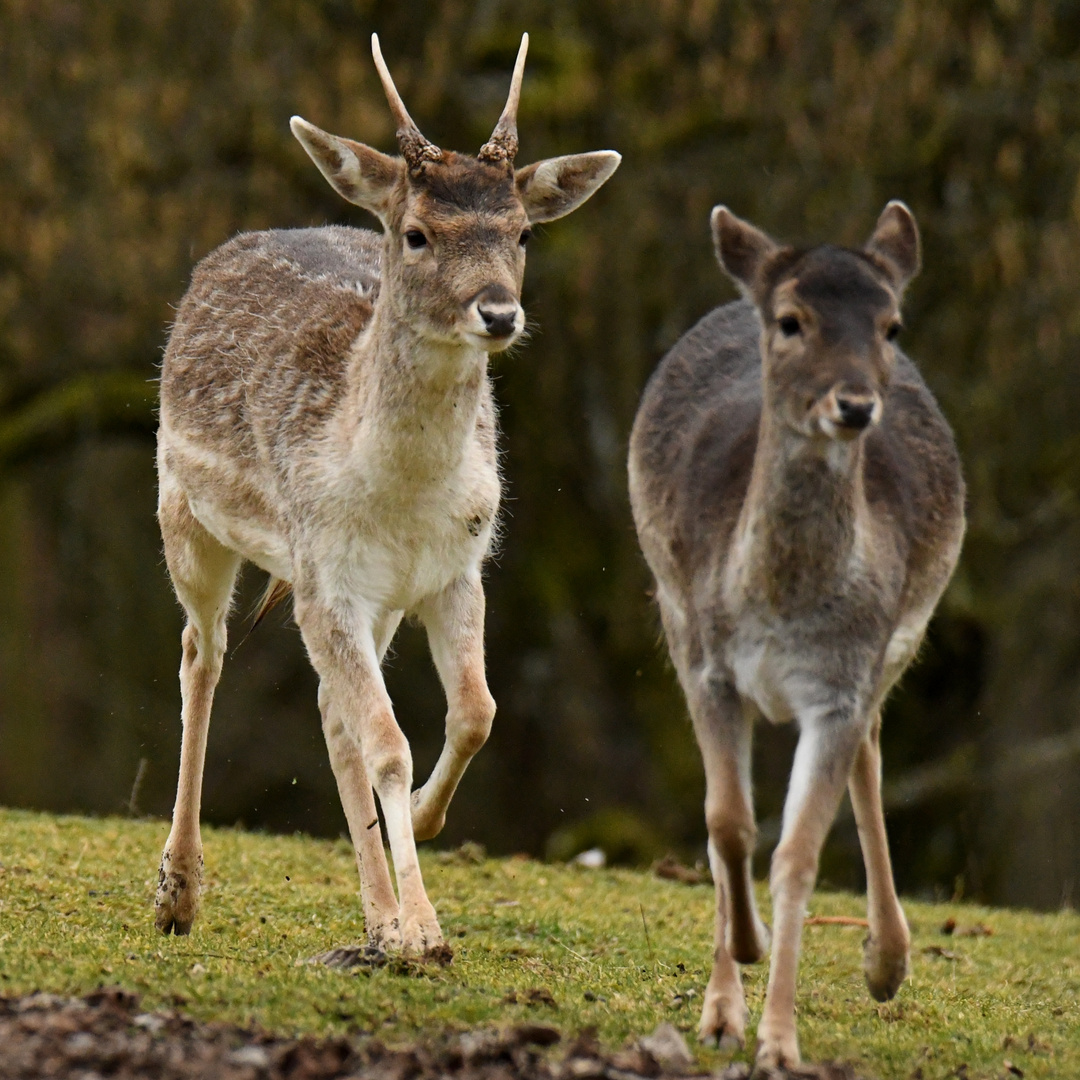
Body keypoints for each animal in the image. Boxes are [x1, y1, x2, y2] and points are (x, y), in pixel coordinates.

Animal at [155, 31, 622, 954]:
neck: (396, 494)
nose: (498, 313)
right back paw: (179, 894)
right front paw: (427, 931)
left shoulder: (453, 571)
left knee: (331, 714)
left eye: (523, 231)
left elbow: (475, 711)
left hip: (363, 599)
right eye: (415, 233)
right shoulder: (326, 573)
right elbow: (389, 743)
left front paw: (423, 847)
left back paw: (374, 917)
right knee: (203, 655)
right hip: (188, 517)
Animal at [630, 204, 967, 1071]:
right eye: (791, 321)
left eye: (890, 324)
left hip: (897, 645)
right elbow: (727, 823)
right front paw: (730, 992)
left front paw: (780, 1045)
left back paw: (888, 960)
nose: (854, 405)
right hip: (671, 607)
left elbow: (799, 854)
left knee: (873, 753)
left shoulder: (840, 685)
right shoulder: (709, 667)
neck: (781, 609)